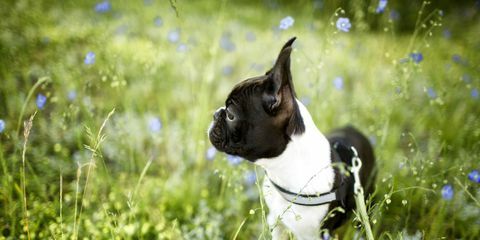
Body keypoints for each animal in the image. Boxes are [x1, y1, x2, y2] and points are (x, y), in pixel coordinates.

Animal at [207, 36, 376, 239]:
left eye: (231, 115)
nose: (216, 113)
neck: (283, 170)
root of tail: (353, 129)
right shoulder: (275, 221)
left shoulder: (316, 234)